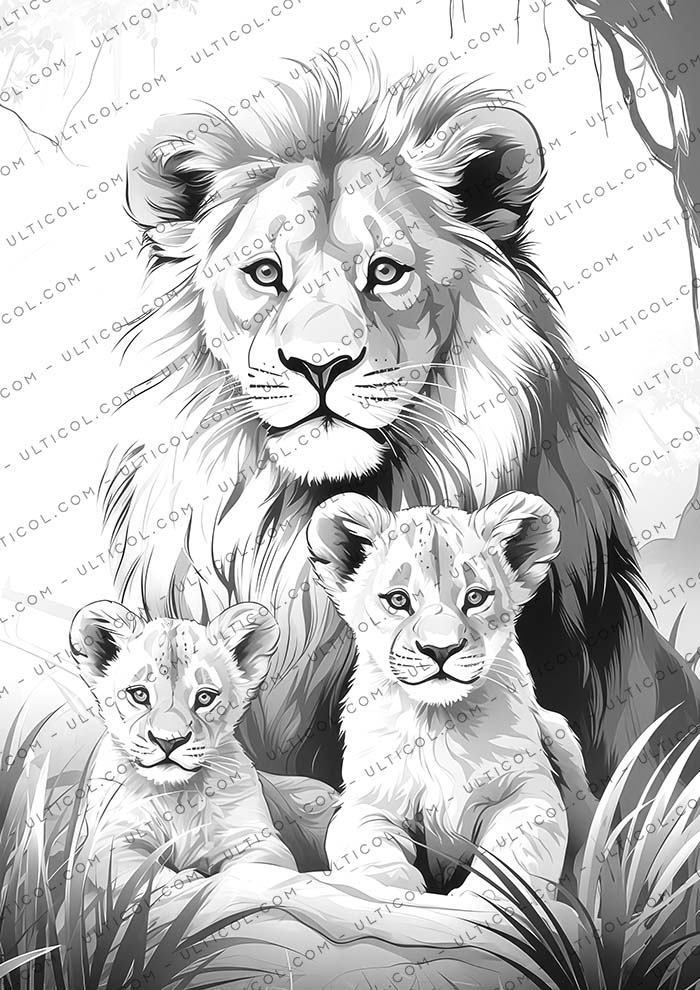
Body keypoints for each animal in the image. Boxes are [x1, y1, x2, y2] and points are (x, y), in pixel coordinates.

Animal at [70, 599, 335, 894]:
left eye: (205, 697)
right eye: (139, 694)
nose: (169, 741)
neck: (177, 795)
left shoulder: (259, 840)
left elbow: (249, 870)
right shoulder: (110, 843)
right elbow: (146, 873)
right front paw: (187, 879)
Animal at [307, 490, 595, 898]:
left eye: (475, 597)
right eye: (398, 600)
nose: (440, 649)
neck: (437, 721)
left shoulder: (528, 789)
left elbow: (521, 847)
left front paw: (487, 897)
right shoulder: (368, 801)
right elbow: (364, 846)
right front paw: (398, 887)